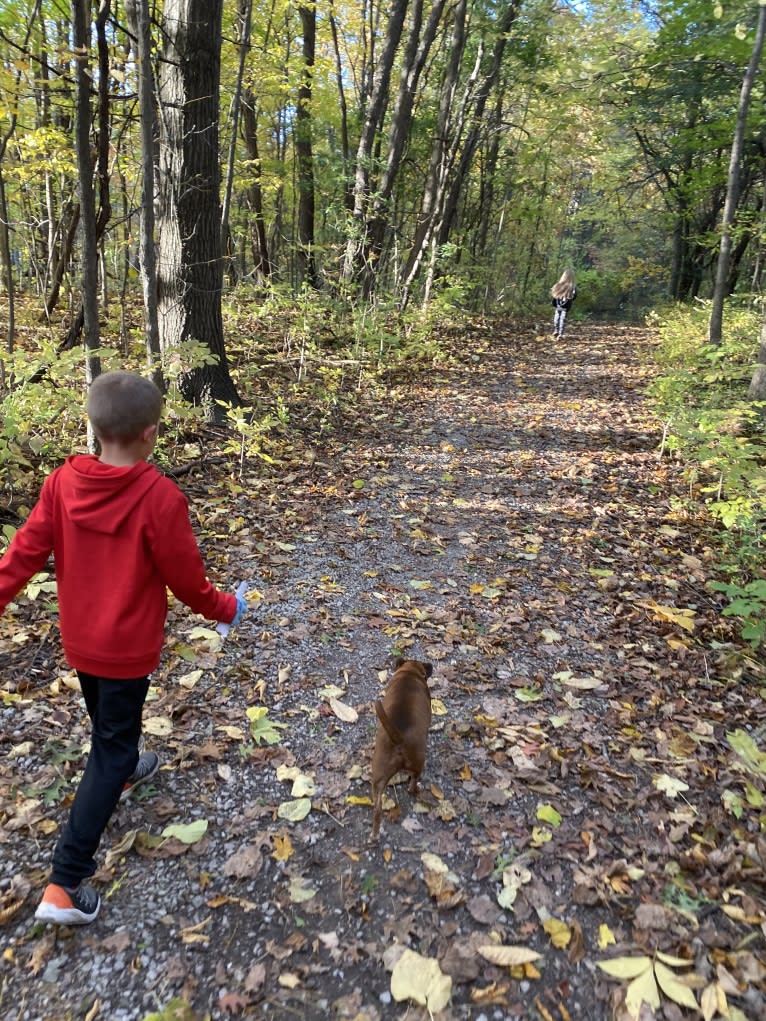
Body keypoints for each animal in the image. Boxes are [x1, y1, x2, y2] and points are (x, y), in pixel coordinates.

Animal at [369, 657, 433, 841]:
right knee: (413, 782)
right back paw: (416, 789)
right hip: (418, 763)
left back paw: (374, 835)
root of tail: (399, 738)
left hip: (378, 776)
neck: (409, 673)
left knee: (377, 809)